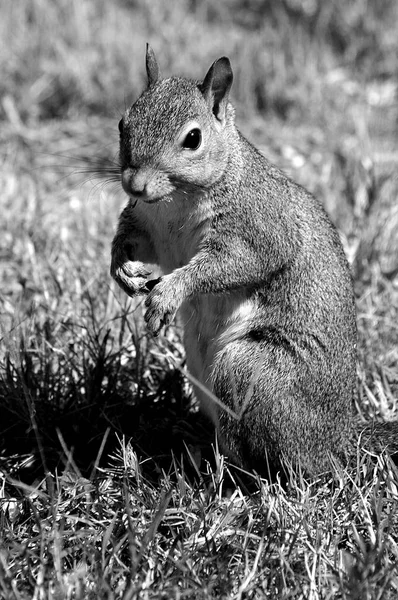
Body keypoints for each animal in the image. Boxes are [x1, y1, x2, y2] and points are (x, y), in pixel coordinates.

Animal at [109, 44, 398, 478]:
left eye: (193, 138)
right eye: (123, 123)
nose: (134, 184)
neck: (175, 201)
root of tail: (336, 441)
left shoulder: (259, 229)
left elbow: (230, 265)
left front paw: (168, 294)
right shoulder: (149, 225)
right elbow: (134, 244)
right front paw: (122, 270)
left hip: (250, 371)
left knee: (275, 462)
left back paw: (221, 475)